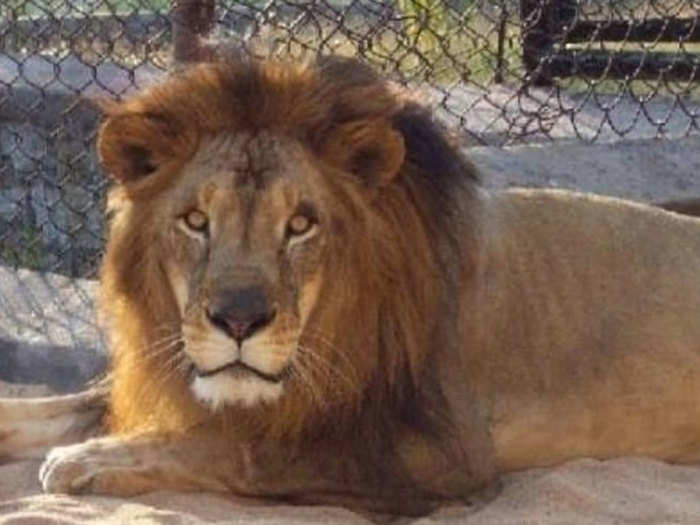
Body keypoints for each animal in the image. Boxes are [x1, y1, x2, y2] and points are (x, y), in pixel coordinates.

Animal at [3, 54, 700, 516]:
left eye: (300, 224)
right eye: (196, 221)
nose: (238, 322)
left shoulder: (441, 452)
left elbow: (239, 450)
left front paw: (89, 460)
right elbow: (65, 406)